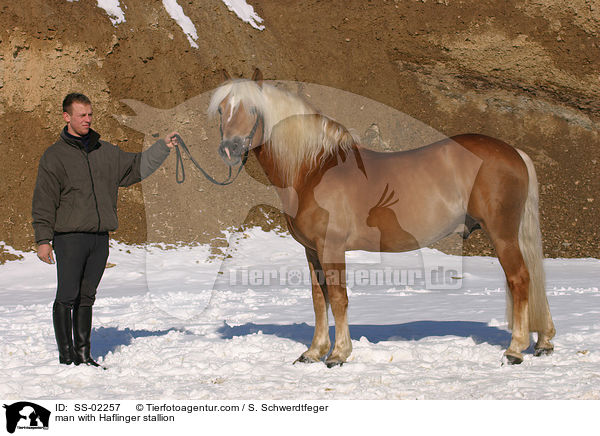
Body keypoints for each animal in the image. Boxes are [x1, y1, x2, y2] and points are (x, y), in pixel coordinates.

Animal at [209, 69, 556, 368]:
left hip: (502, 234)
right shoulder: (311, 251)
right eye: (221, 110)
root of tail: (513, 152)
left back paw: (515, 350)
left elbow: (339, 298)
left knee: (520, 280)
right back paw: (543, 342)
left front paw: (338, 354)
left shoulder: (331, 247)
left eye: (252, 109)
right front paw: (313, 352)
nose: (229, 149)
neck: (314, 169)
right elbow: (319, 299)